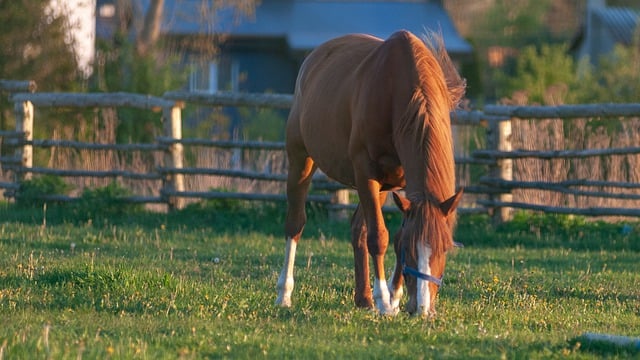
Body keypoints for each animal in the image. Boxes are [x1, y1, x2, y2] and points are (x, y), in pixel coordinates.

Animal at [276, 31, 464, 318]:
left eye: (444, 248)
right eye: (411, 250)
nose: (422, 309)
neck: (398, 90)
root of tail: (313, 58)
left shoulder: (400, 183)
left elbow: (391, 234)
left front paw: (394, 299)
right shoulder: (365, 171)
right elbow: (380, 237)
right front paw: (385, 302)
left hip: (383, 186)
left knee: (357, 229)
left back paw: (363, 298)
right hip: (302, 159)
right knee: (295, 224)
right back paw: (284, 294)